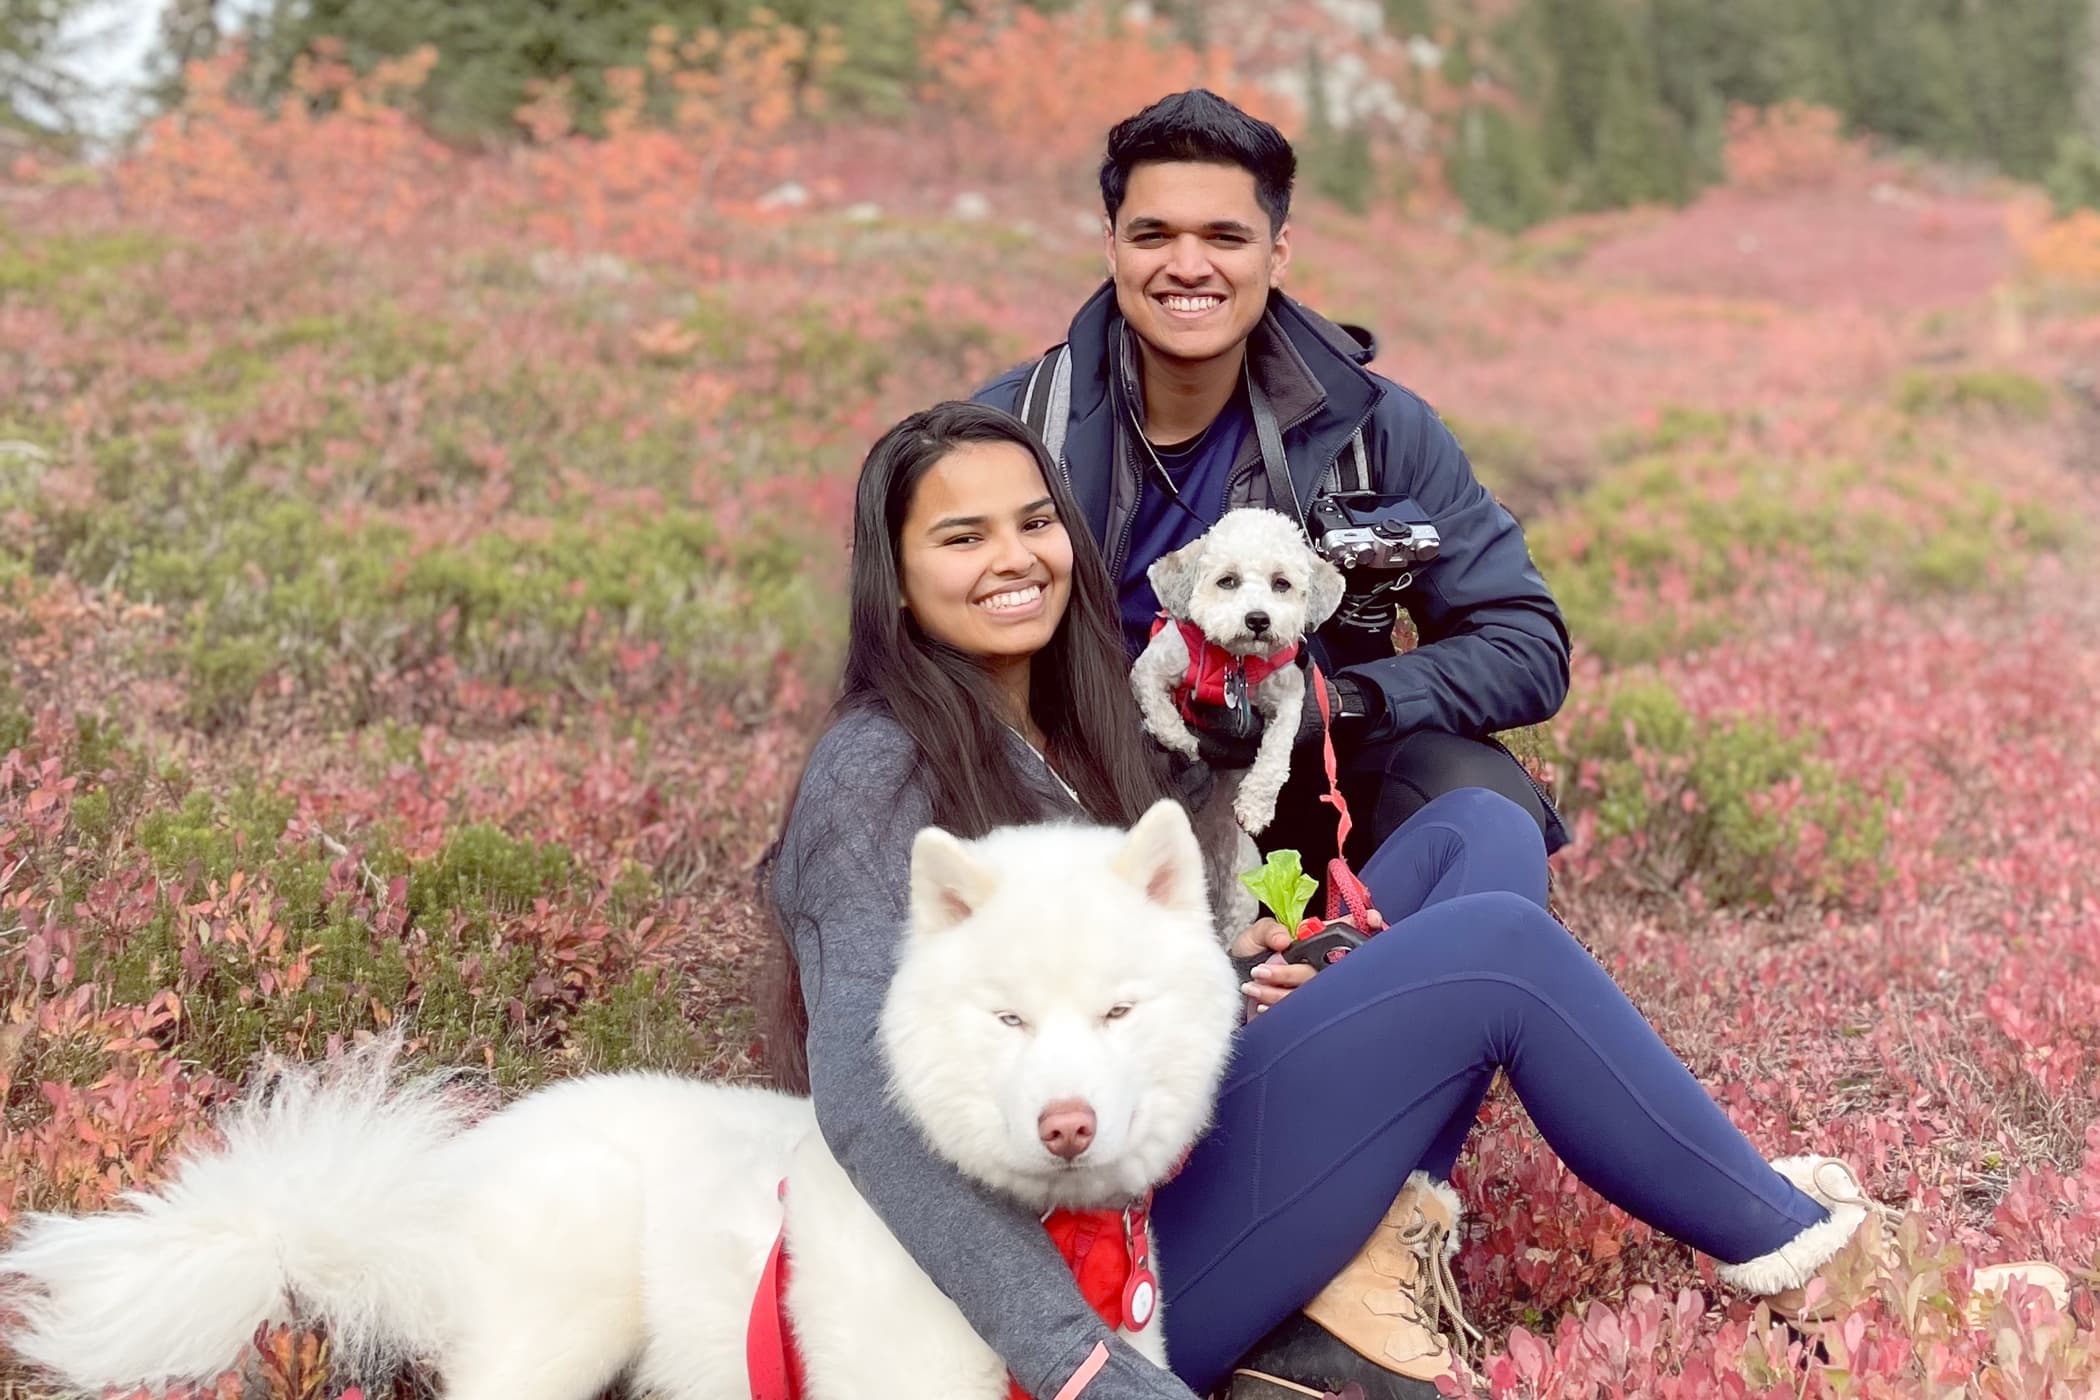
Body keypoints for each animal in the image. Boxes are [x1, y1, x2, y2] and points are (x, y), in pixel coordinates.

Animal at [0, 797, 1234, 1400]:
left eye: (1118, 1010)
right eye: (1009, 1018)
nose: (1066, 1123)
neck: (1037, 1240)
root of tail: (428, 1188)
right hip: (561, 1330)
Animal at [1134, 510, 1344, 915]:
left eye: (1281, 583)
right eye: (1227, 580)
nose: (1258, 619)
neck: (1236, 662)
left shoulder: (1291, 699)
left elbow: (1275, 756)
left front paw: (1256, 806)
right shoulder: (1150, 668)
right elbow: (1162, 713)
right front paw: (1184, 742)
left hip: (1242, 893)